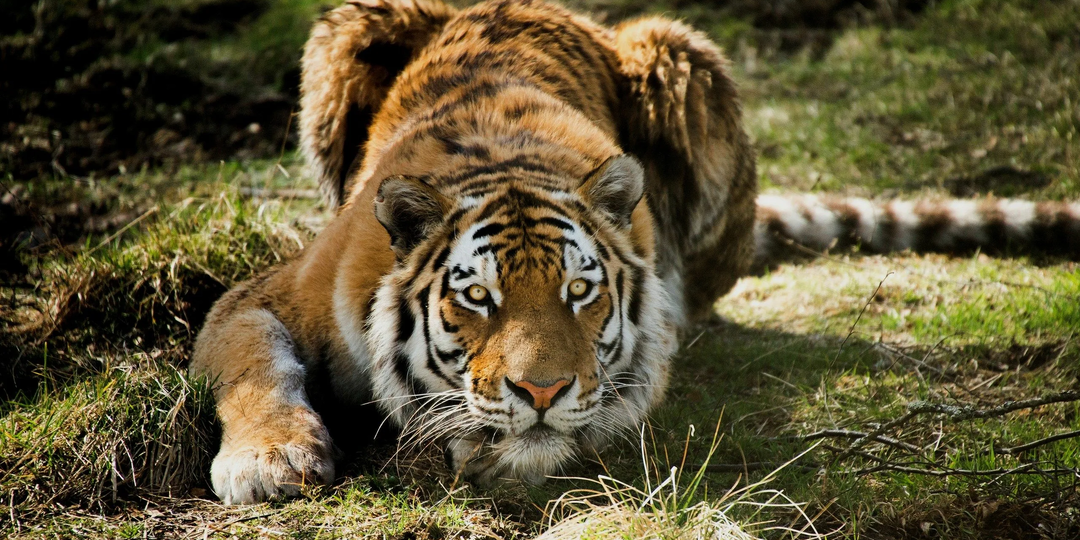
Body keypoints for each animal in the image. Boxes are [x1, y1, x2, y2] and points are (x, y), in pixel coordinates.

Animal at [190, 0, 1080, 504]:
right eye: (477, 298)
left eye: (580, 293)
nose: (542, 392)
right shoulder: (265, 294)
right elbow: (254, 364)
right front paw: (268, 461)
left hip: (683, 57)